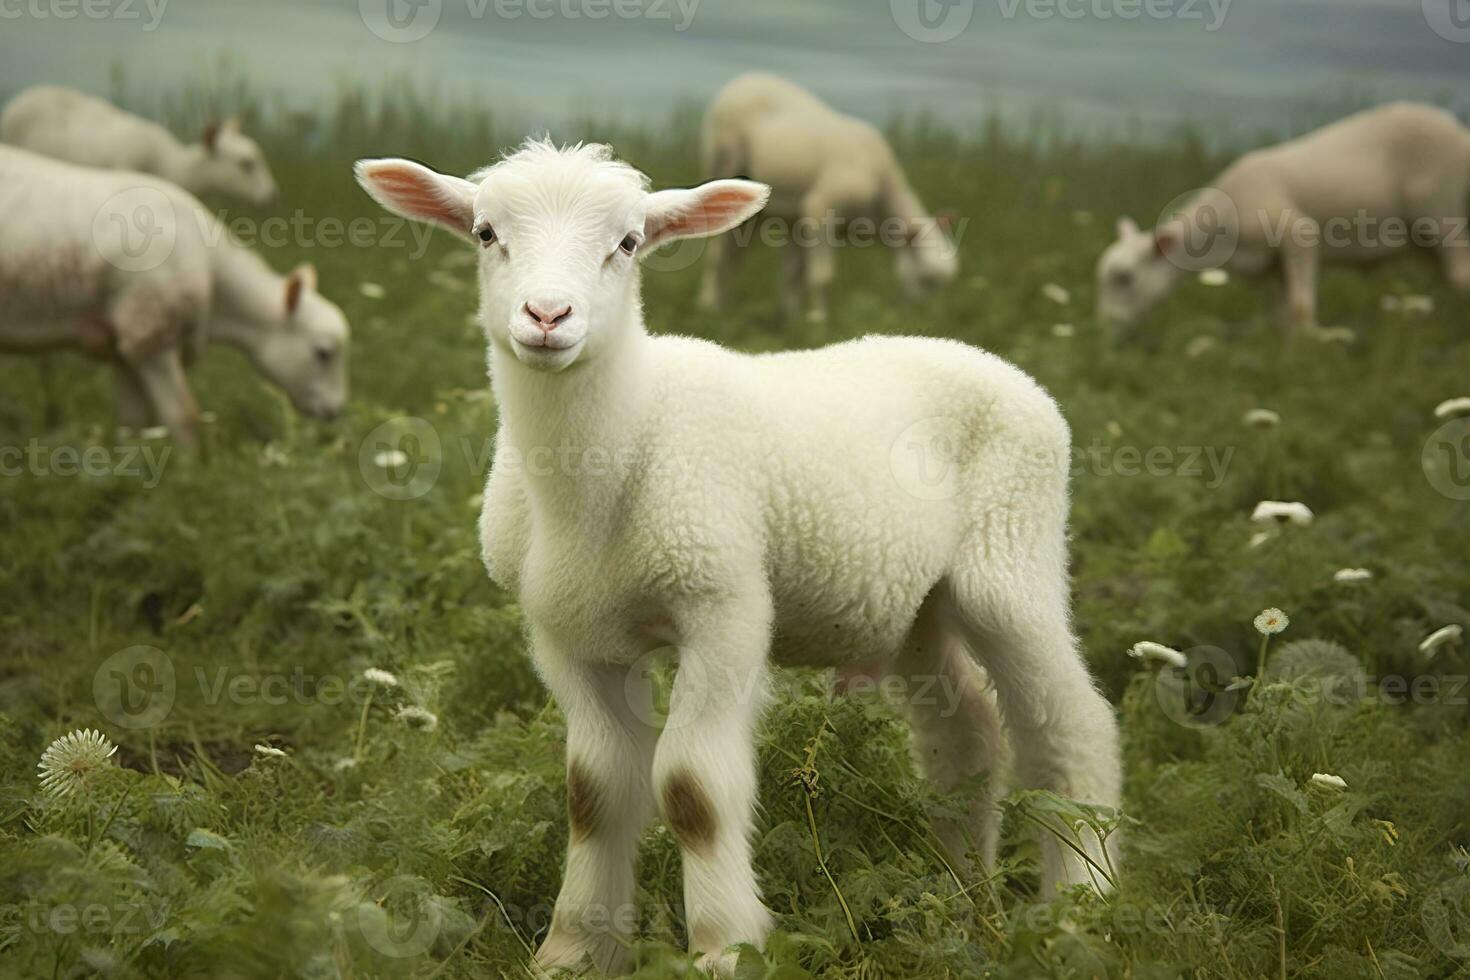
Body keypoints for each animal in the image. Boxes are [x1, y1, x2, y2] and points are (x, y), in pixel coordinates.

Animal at [1, 145, 348, 443]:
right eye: (323, 353)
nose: (337, 410)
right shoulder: (152, 337)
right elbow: (184, 419)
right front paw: (193, 472)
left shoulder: (126, 348)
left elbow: (133, 425)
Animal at [355, 138, 1123, 975]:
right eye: (486, 233)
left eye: (628, 243)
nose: (548, 317)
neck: (620, 443)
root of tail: (991, 361)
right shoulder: (567, 635)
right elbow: (593, 793)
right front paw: (574, 950)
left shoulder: (723, 607)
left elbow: (692, 790)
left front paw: (726, 946)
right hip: (916, 606)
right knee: (967, 735)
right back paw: (961, 902)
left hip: (1011, 554)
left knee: (1072, 729)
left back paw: (1082, 907)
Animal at [693, 74, 958, 326]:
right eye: (927, 280)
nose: (928, 318)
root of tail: (740, 81)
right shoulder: (820, 208)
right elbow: (821, 276)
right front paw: (818, 321)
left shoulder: (797, 220)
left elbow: (793, 275)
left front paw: (791, 320)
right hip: (722, 159)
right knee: (717, 253)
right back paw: (709, 307)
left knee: (733, 255)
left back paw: (724, 305)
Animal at [1099, 102, 1470, 327]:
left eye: (1125, 278)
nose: (1106, 331)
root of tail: (1461, 134)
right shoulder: (1271, 267)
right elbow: (1282, 314)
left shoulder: (1297, 234)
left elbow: (1299, 307)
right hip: (1424, 240)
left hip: (1443, 212)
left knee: (1460, 274)